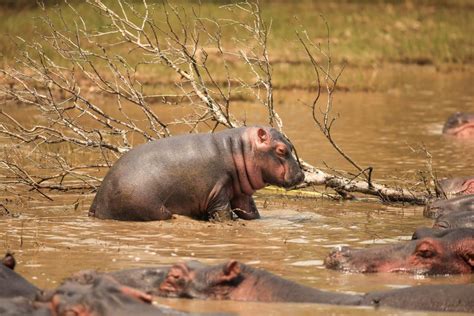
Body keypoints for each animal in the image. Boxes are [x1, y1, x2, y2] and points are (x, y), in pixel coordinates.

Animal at [89, 125, 304, 220]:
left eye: (291, 144)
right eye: (281, 150)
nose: (301, 175)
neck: (238, 149)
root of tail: (97, 202)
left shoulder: (241, 193)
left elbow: (250, 212)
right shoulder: (218, 189)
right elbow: (223, 212)